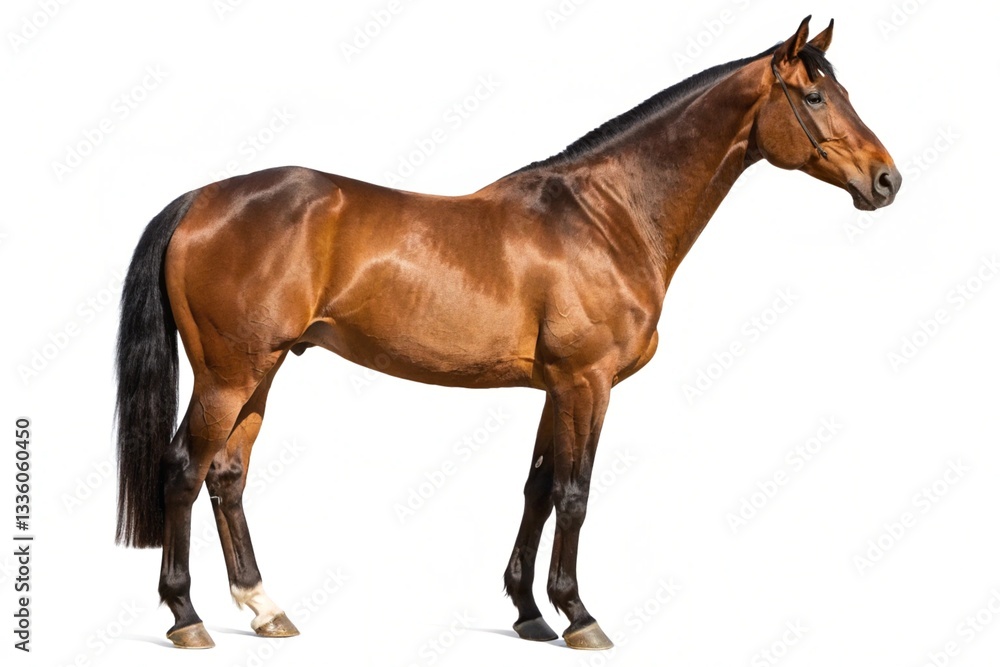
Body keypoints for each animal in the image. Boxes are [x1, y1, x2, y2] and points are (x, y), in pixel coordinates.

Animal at [115, 16, 900, 650]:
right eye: (815, 97)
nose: (887, 180)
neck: (606, 216)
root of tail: (201, 199)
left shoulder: (558, 388)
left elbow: (538, 487)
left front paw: (529, 612)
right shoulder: (588, 382)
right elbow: (576, 493)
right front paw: (579, 614)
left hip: (262, 371)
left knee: (227, 476)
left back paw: (265, 609)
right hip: (229, 373)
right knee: (183, 469)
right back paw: (186, 617)